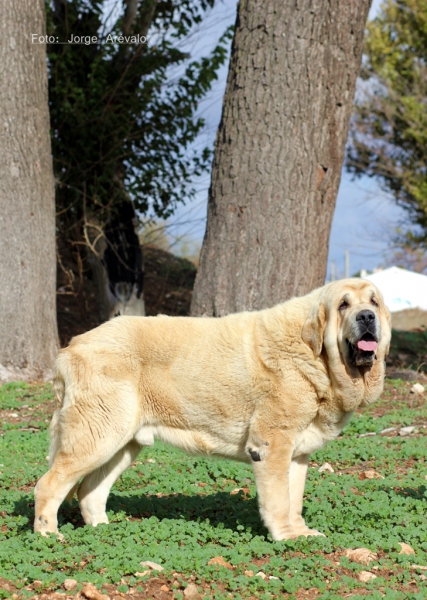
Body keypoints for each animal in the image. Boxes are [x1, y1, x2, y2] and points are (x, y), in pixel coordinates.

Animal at [34, 278, 392, 540]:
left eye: (373, 302)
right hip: (98, 436)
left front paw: (301, 533)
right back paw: (48, 536)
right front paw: (286, 537)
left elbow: (294, 500)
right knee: (49, 485)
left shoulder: (297, 453)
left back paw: (102, 531)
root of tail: (70, 348)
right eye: (344, 304)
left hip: (122, 443)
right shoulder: (271, 445)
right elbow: (279, 500)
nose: (366, 316)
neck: (315, 356)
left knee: (89, 491)